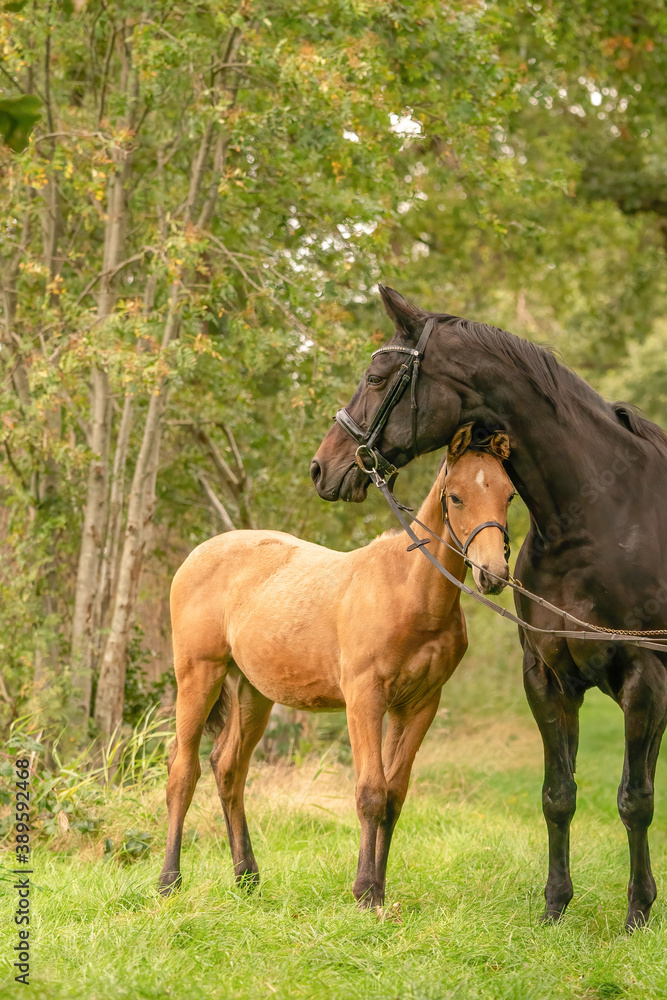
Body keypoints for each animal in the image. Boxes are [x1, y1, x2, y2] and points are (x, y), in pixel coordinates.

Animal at [158, 430, 515, 907]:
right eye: (456, 497)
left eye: (509, 495)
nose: (492, 574)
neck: (409, 590)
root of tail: (196, 553)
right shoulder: (364, 698)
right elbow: (370, 793)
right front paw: (365, 893)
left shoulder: (419, 704)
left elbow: (394, 795)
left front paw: (379, 887)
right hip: (199, 674)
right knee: (183, 770)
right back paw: (169, 881)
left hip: (254, 692)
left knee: (228, 767)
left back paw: (247, 877)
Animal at [311, 285, 667, 931]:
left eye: (377, 377)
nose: (324, 466)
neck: (598, 519)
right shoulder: (548, 678)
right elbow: (558, 796)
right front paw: (556, 905)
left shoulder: (644, 678)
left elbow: (636, 799)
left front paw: (636, 914)